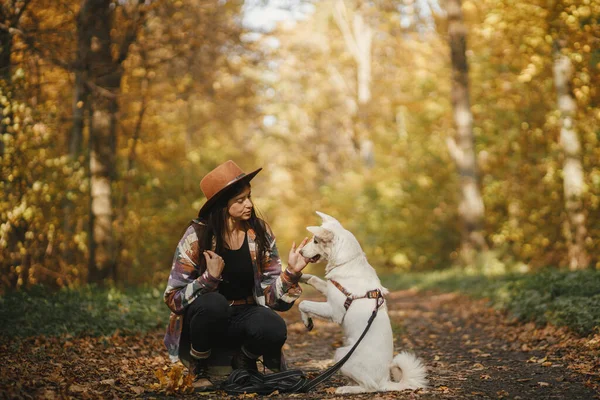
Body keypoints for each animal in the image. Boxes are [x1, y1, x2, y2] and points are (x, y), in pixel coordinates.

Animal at [298, 212, 428, 394]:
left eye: (315, 241)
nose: (300, 251)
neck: (347, 261)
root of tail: (385, 380)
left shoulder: (334, 311)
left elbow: (303, 303)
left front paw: (306, 321)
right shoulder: (329, 290)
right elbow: (313, 279)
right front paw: (299, 276)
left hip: (341, 355)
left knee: (370, 387)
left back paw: (347, 389)